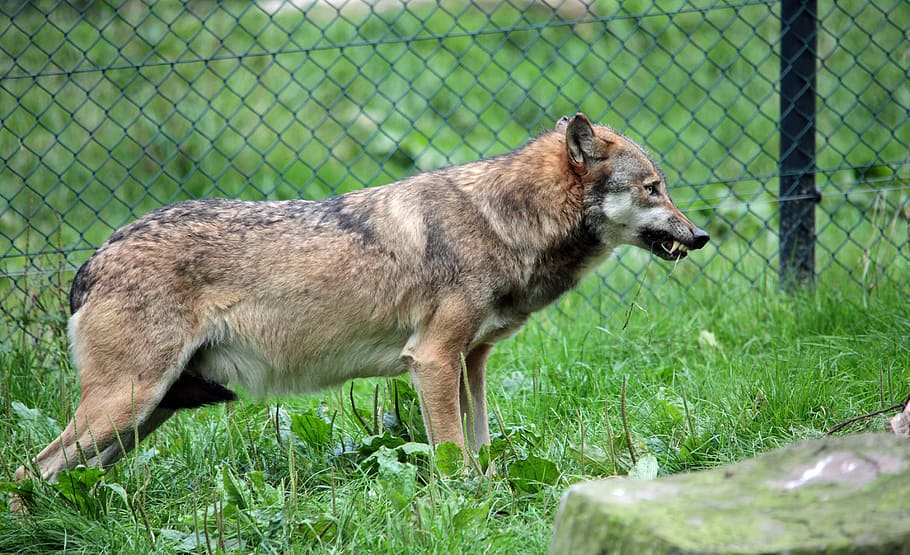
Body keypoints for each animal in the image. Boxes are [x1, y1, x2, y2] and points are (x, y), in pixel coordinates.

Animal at [15, 113, 708, 488]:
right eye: (654, 188)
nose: (700, 235)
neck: (504, 221)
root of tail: (92, 260)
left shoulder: (471, 362)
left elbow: (481, 442)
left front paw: (489, 493)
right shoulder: (432, 360)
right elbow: (452, 454)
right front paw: (462, 502)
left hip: (142, 417)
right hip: (126, 406)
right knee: (30, 471)